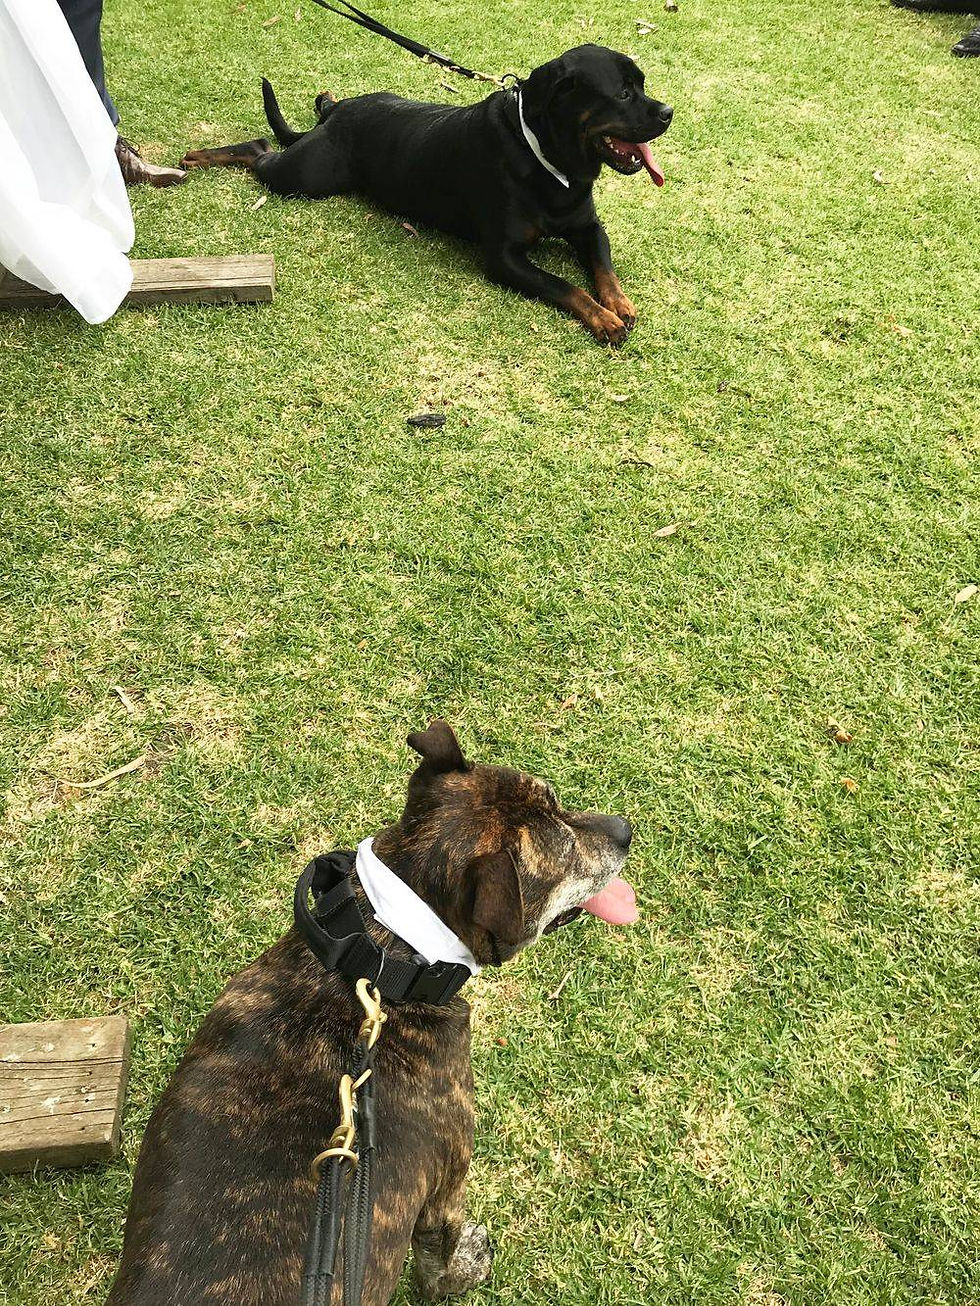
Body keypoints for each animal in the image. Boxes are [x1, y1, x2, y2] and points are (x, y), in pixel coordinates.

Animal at [104, 721, 636, 1305]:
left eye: (554, 798)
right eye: (565, 853)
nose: (626, 830)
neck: (385, 956)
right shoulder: (447, 1180)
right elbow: (439, 1256)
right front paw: (465, 1269)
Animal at [180, 44, 673, 345]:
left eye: (642, 85)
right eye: (623, 93)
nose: (668, 111)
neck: (550, 159)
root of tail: (338, 116)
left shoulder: (588, 226)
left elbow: (603, 267)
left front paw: (618, 303)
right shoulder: (505, 257)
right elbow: (564, 285)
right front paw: (603, 318)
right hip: (305, 176)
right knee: (261, 150)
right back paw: (199, 156)